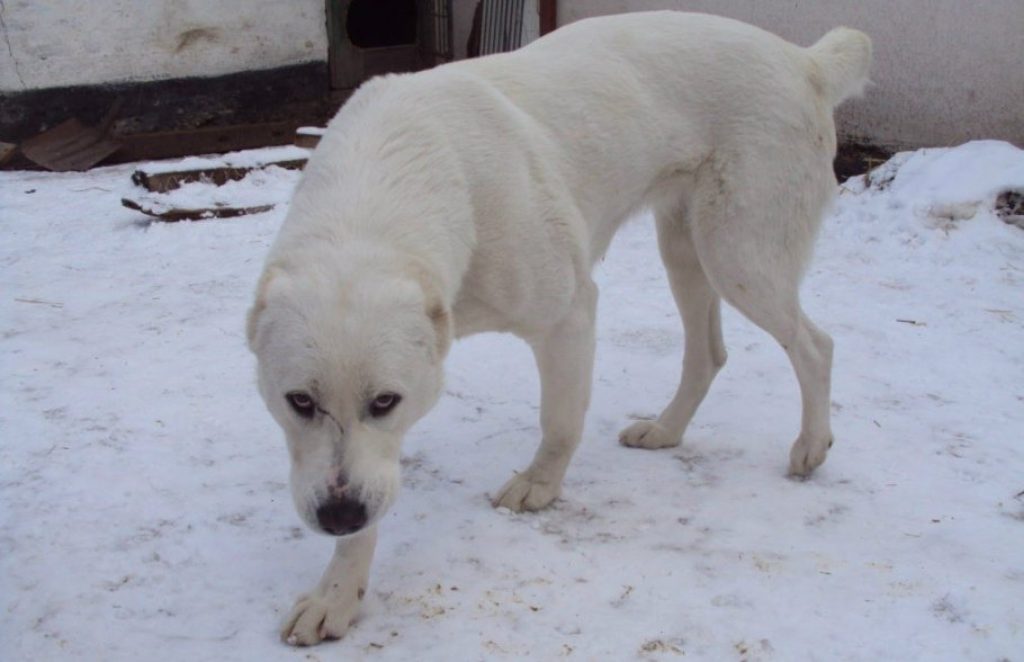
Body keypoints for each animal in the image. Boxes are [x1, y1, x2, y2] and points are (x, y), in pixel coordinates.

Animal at [247, 11, 872, 647]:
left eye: (384, 402)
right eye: (299, 402)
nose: (337, 517)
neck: (382, 189)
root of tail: (804, 60)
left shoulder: (569, 314)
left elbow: (560, 422)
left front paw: (540, 486)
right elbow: (366, 492)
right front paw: (337, 593)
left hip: (737, 254)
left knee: (815, 346)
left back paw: (810, 446)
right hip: (684, 248)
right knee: (708, 354)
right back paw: (666, 430)